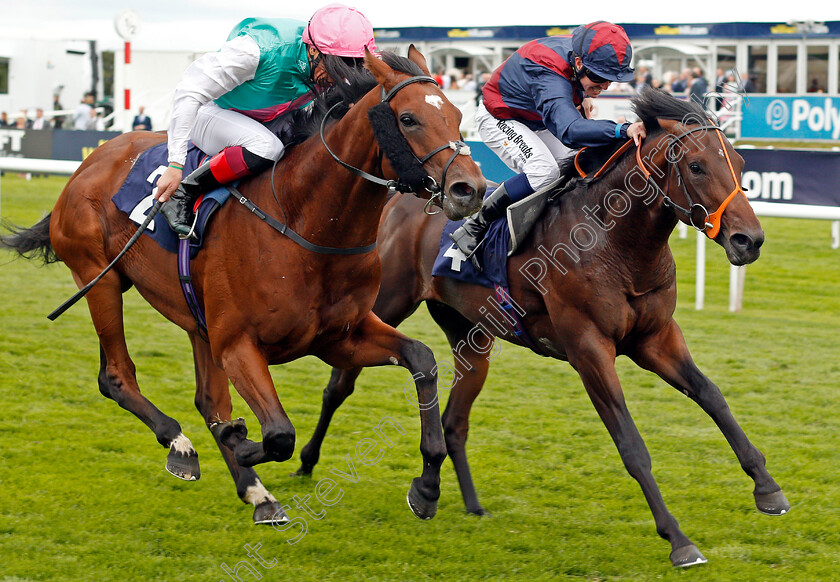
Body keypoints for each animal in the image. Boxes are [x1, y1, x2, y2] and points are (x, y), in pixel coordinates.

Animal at [1, 49, 486, 524]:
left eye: (459, 114)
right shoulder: (238, 344)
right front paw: (240, 441)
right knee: (117, 377)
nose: (470, 188)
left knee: (206, 400)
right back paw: (181, 445)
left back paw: (256, 493)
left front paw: (427, 484)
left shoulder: (339, 337)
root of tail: (91, 161)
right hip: (98, 278)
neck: (305, 220)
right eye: (408, 118)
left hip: (194, 319)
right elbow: (278, 435)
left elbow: (421, 359)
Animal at [294, 89, 788, 568]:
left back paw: (456, 499)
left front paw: (767, 487)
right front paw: (679, 541)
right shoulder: (589, 349)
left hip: (471, 336)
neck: (615, 244)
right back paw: (307, 462)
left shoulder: (656, 338)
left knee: (454, 420)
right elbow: (630, 444)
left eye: (739, 162)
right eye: (696, 165)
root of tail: (405, 199)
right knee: (339, 385)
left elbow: (712, 397)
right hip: (384, 304)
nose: (749, 239)